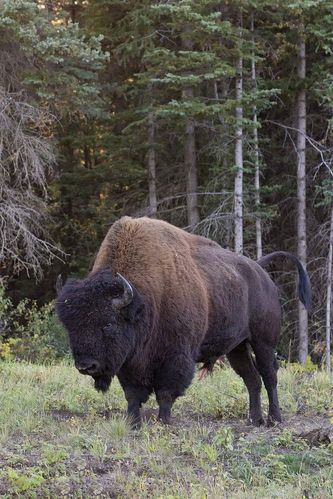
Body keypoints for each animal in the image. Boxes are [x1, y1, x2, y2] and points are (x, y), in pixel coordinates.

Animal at [55, 217, 310, 428]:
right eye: (70, 326)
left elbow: (166, 392)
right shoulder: (130, 362)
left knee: (269, 375)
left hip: (263, 341)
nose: (86, 366)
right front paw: (133, 424)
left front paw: (164, 422)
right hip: (237, 347)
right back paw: (254, 420)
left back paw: (274, 420)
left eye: (108, 323)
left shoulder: (175, 356)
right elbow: (133, 394)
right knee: (251, 379)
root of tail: (260, 272)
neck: (144, 299)